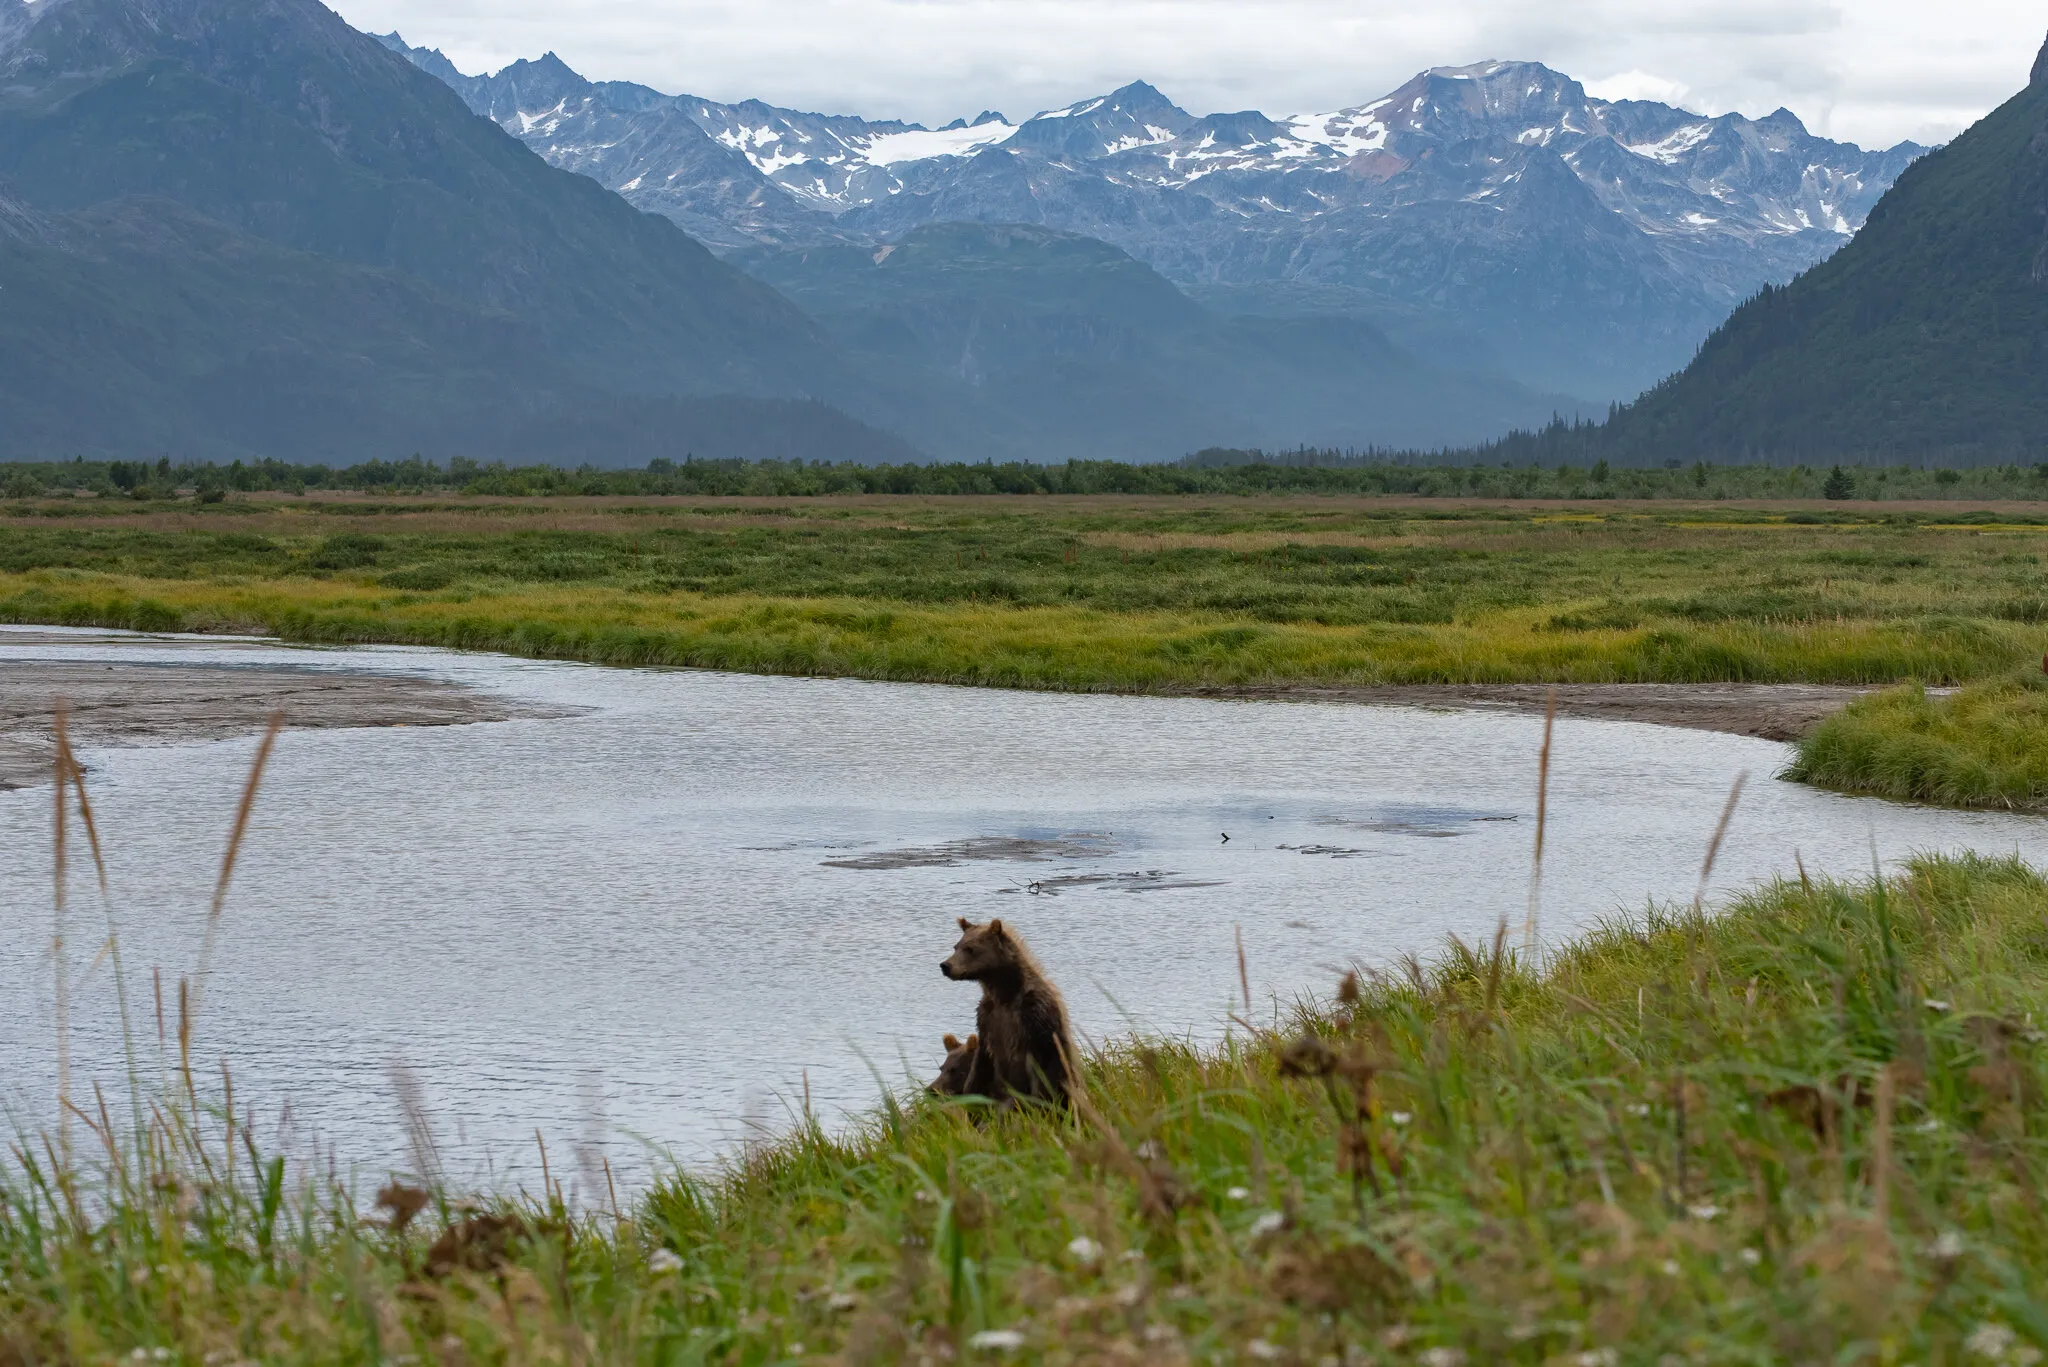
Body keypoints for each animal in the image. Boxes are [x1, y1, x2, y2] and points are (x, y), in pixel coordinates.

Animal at [939, 917, 1077, 1109]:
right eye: (956, 946)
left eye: (971, 948)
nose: (946, 965)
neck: (1004, 994)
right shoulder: (987, 1018)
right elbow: (981, 1066)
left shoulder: (1035, 1016)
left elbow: (1045, 1065)